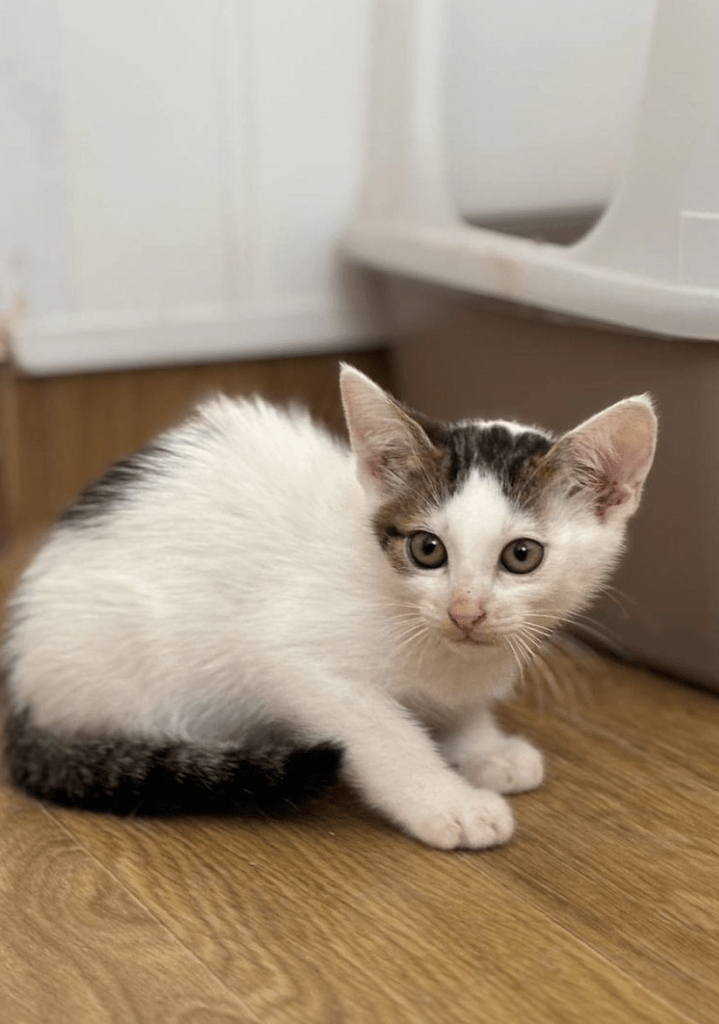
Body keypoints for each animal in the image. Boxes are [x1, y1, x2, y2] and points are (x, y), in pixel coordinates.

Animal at [0, 366, 655, 847]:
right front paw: (447, 801)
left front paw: (484, 748)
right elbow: (386, 734)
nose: (465, 612)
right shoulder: (295, 661)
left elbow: (460, 709)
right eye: (427, 549)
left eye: (522, 555)